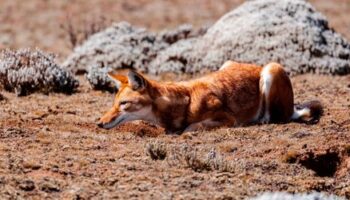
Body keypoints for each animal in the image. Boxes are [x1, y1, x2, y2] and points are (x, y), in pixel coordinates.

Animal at [97, 61, 322, 133]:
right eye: (114, 104)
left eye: (124, 104)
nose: (99, 123)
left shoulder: (227, 118)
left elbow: (192, 127)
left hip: (271, 70)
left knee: (277, 117)